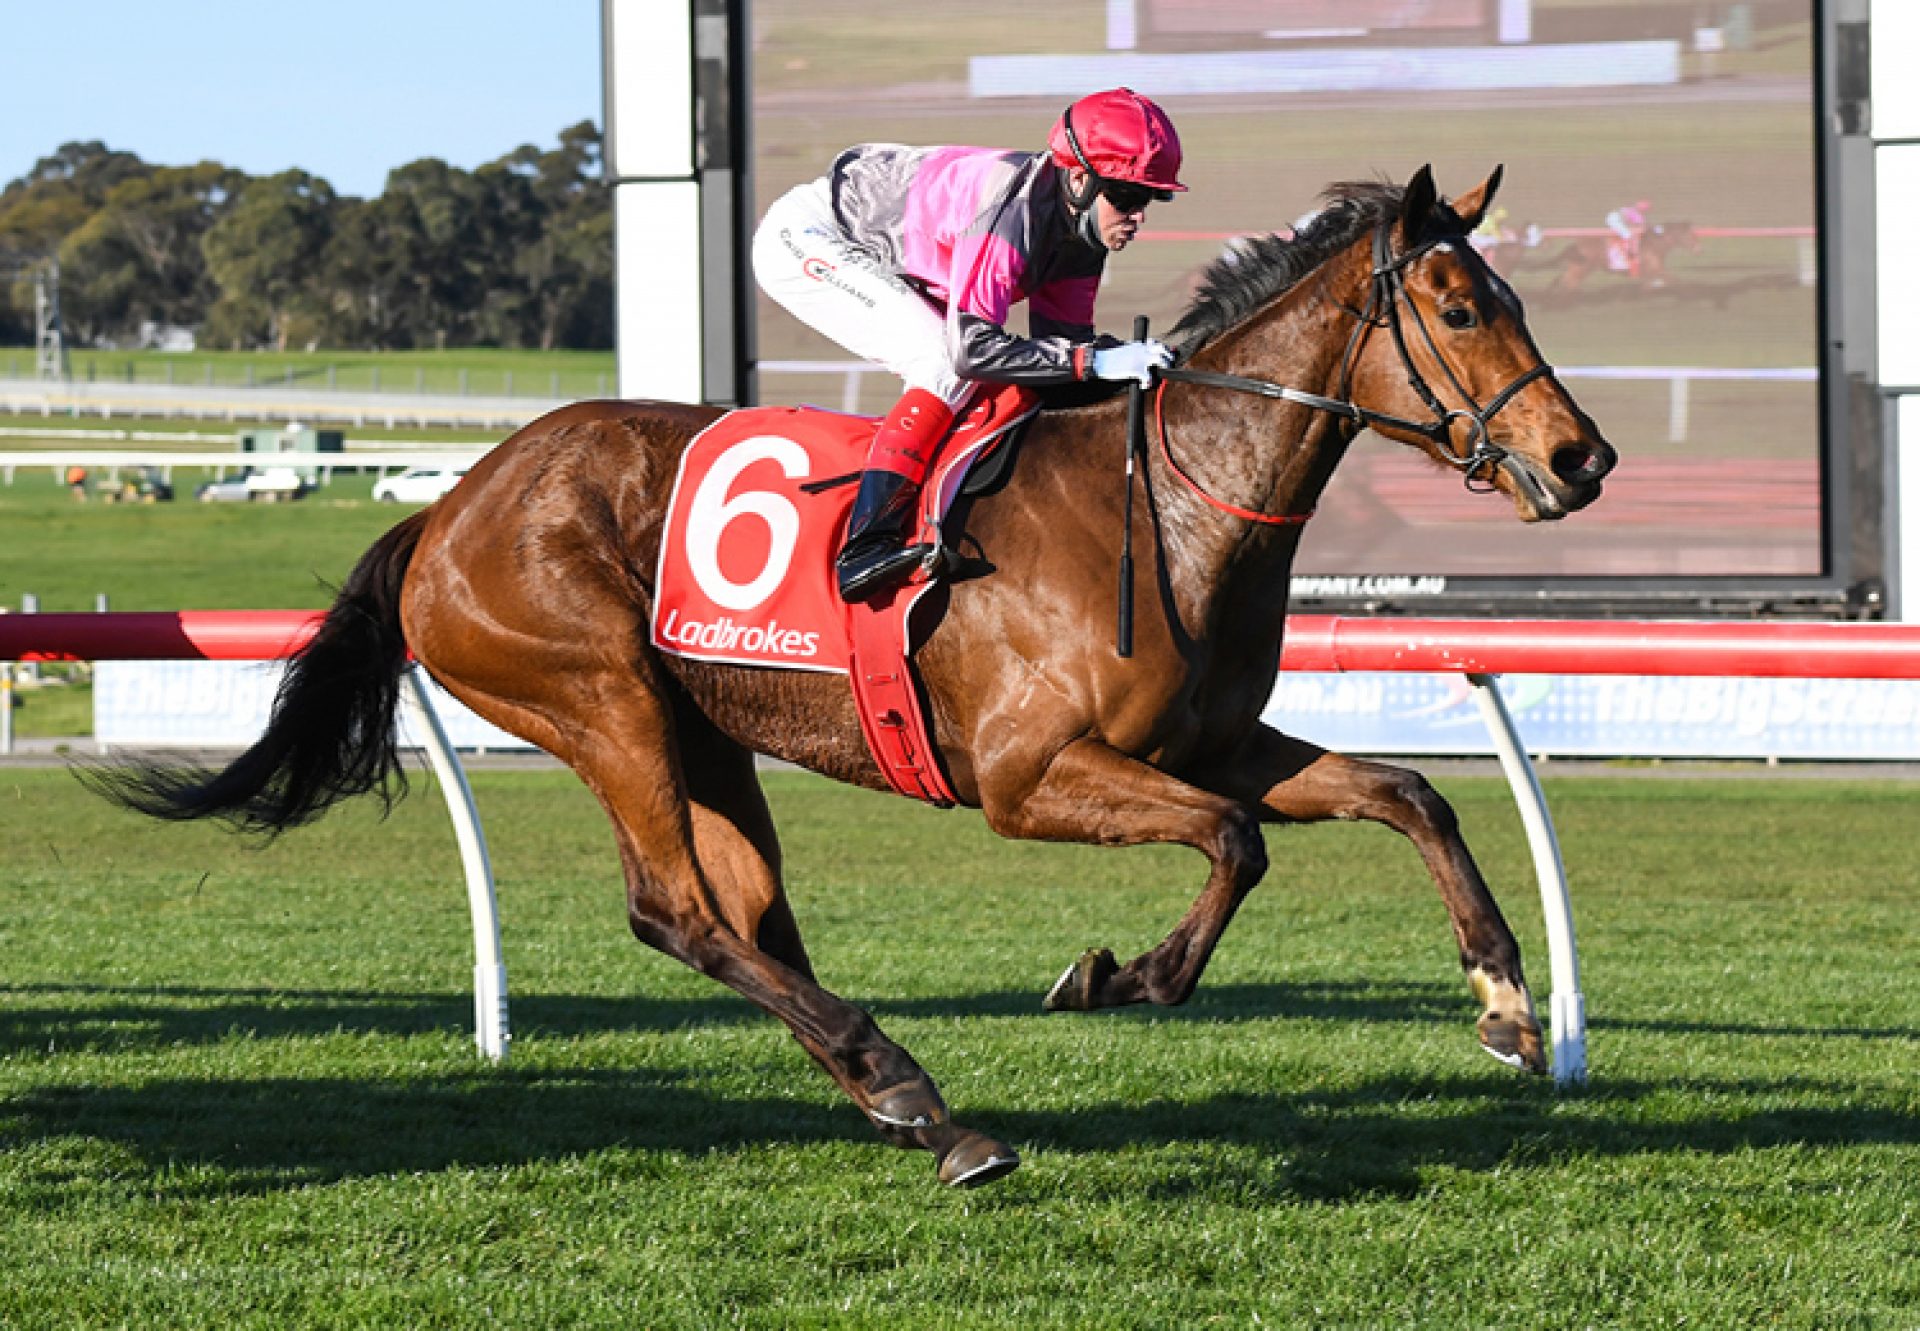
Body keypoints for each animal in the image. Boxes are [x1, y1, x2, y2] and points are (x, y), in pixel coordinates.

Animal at [93, 163, 1620, 1183]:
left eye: (1508, 295)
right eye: (1459, 305)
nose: (1584, 455)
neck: (1168, 508)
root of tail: (453, 503)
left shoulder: (1205, 741)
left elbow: (1409, 791)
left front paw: (1504, 1003)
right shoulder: (1026, 776)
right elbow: (1239, 843)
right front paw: (1121, 975)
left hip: (706, 731)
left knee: (754, 923)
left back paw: (921, 1107)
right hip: (596, 699)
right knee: (678, 914)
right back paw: (908, 1083)